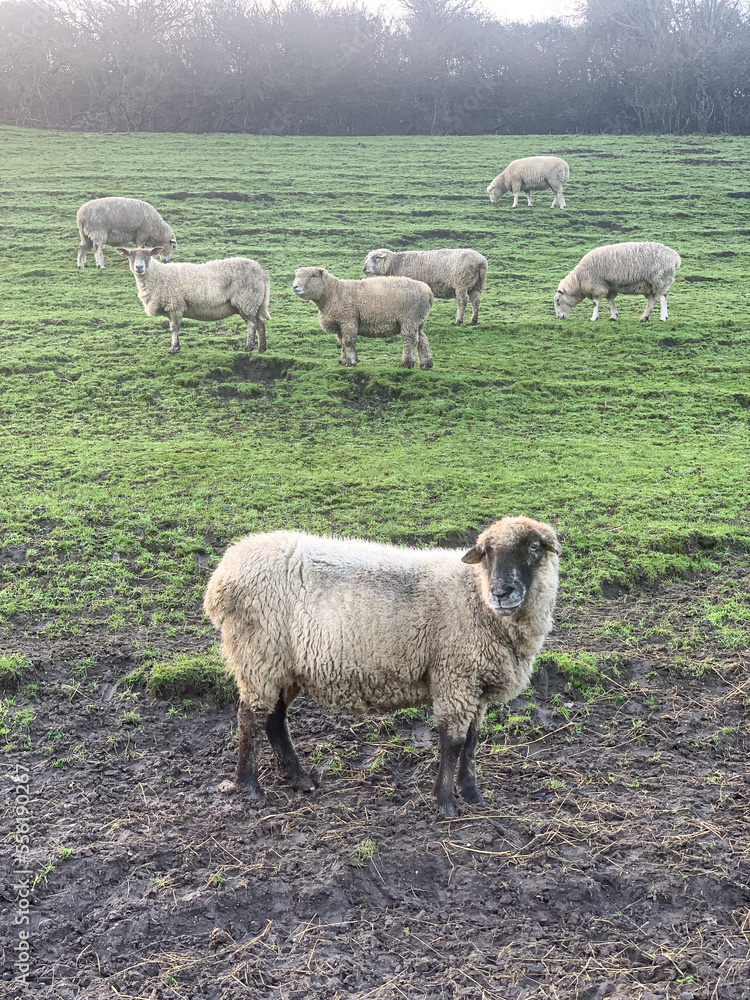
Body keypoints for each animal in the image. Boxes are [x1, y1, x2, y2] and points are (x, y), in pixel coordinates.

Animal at [115, 247, 270, 353]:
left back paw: (249, 347)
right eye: (130, 255)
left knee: (251, 324)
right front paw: (176, 346)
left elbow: (174, 328)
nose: (139, 267)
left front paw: (174, 348)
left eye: (148, 255)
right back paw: (261, 348)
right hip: (253, 303)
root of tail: (261, 271)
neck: (157, 275)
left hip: (247, 300)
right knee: (260, 324)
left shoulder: (176, 306)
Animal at [203, 516, 560, 817]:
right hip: (258, 656)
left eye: (533, 546)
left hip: (283, 666)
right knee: (250, 717)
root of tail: (223, 570)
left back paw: (298, 777)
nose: (502, 592)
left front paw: (472, 793)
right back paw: (249, 786)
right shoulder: (455, 677)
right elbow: (453, 742)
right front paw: (445, 801)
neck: (474, 592)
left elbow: (472, 741)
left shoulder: (477, 685)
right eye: (486, 554)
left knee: (274, 718)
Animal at [292, 267, 434, 369]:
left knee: (411, 340)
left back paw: (407, 364)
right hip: (418, 321)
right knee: (422, 339)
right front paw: (343, 361)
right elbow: (342, 343)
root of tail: (428, 292)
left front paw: (351, 362)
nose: (295, 286)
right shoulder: (340, 325)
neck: (334, 292)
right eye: (296, 275)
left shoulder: (348, 320)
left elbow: (348, 342)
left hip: (409, 319)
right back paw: (426, 364)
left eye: (313, 275)